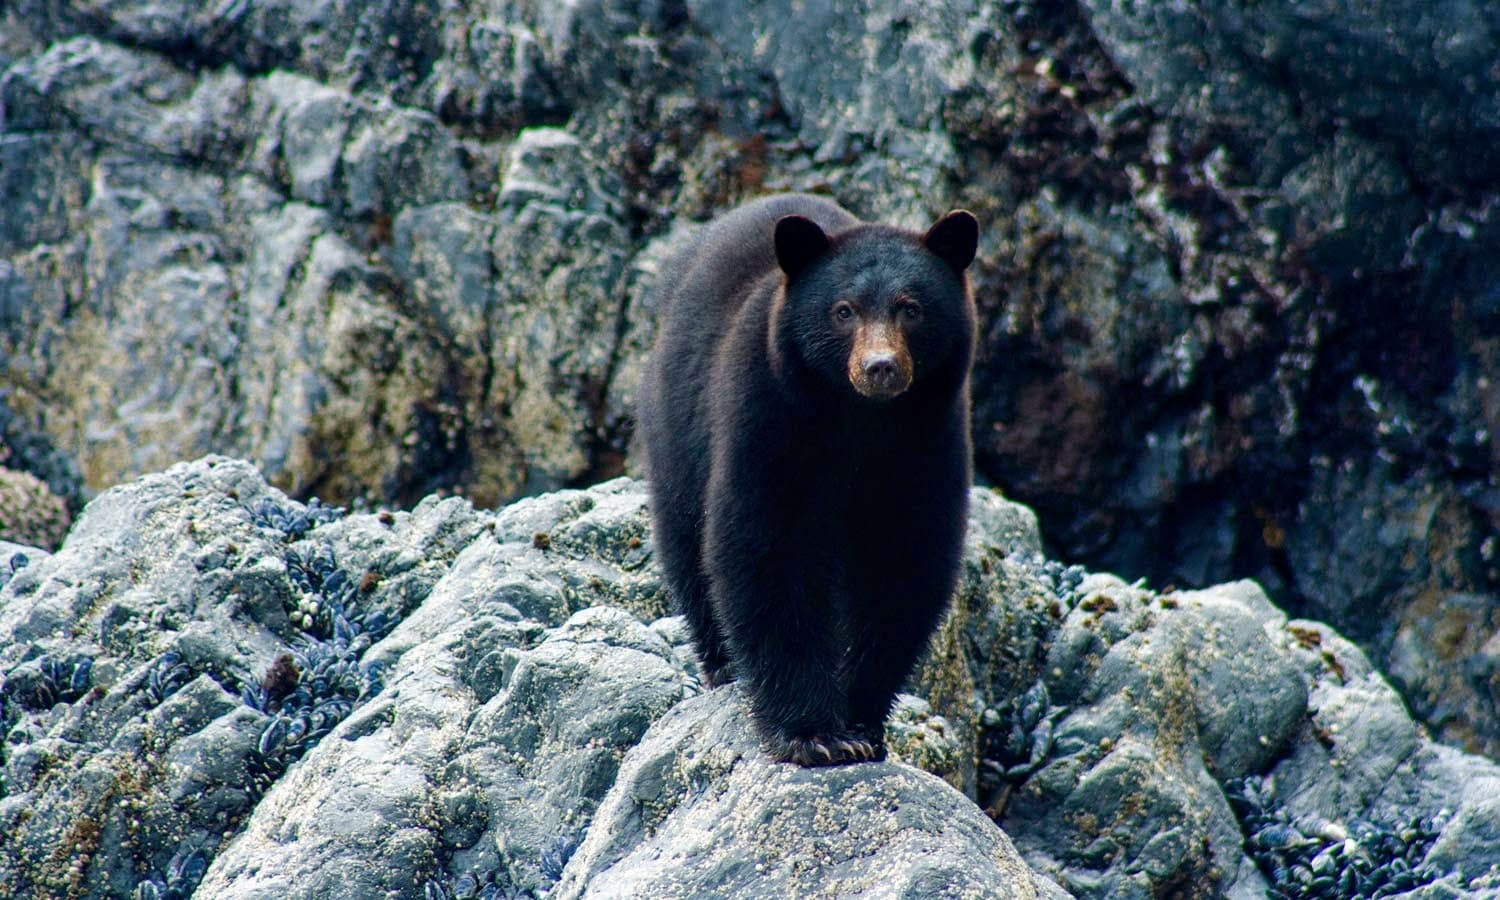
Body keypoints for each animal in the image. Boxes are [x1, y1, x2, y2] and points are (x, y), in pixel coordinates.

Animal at [636, 193, 978, 766]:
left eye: (911, 307)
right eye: (843, 310)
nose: (880, 367)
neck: (860, 422)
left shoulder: (926, 444)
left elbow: (905, 565)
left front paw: (861, 719)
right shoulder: (770, 421)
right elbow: (767, 551)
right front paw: (812, 732)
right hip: (677, 425)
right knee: (685, 542)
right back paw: (721, 664)